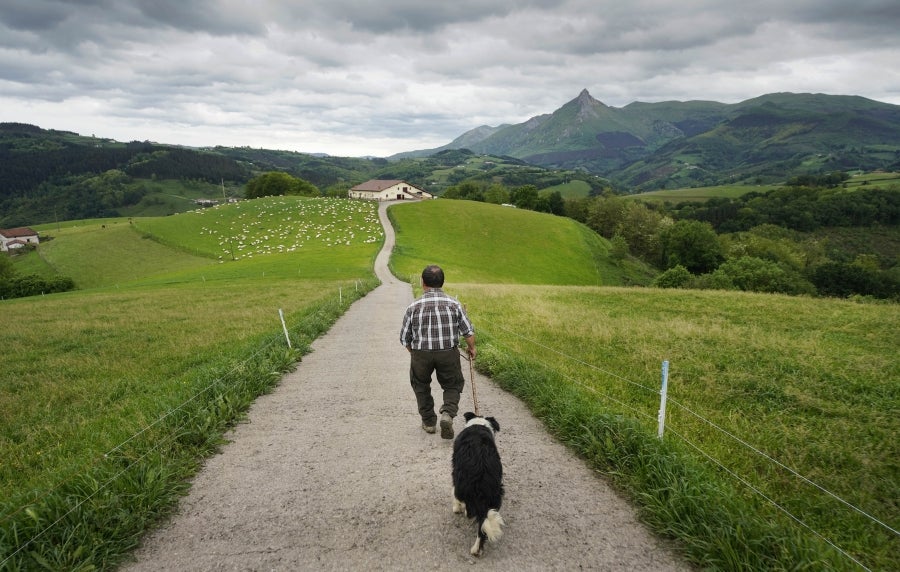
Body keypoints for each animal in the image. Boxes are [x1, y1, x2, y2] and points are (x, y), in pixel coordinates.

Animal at [450, 414, 506, 556]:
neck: (478, 424)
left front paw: (457, 508)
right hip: (496, 495)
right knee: (482, 525)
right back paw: (477, 549)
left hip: (462, 484)